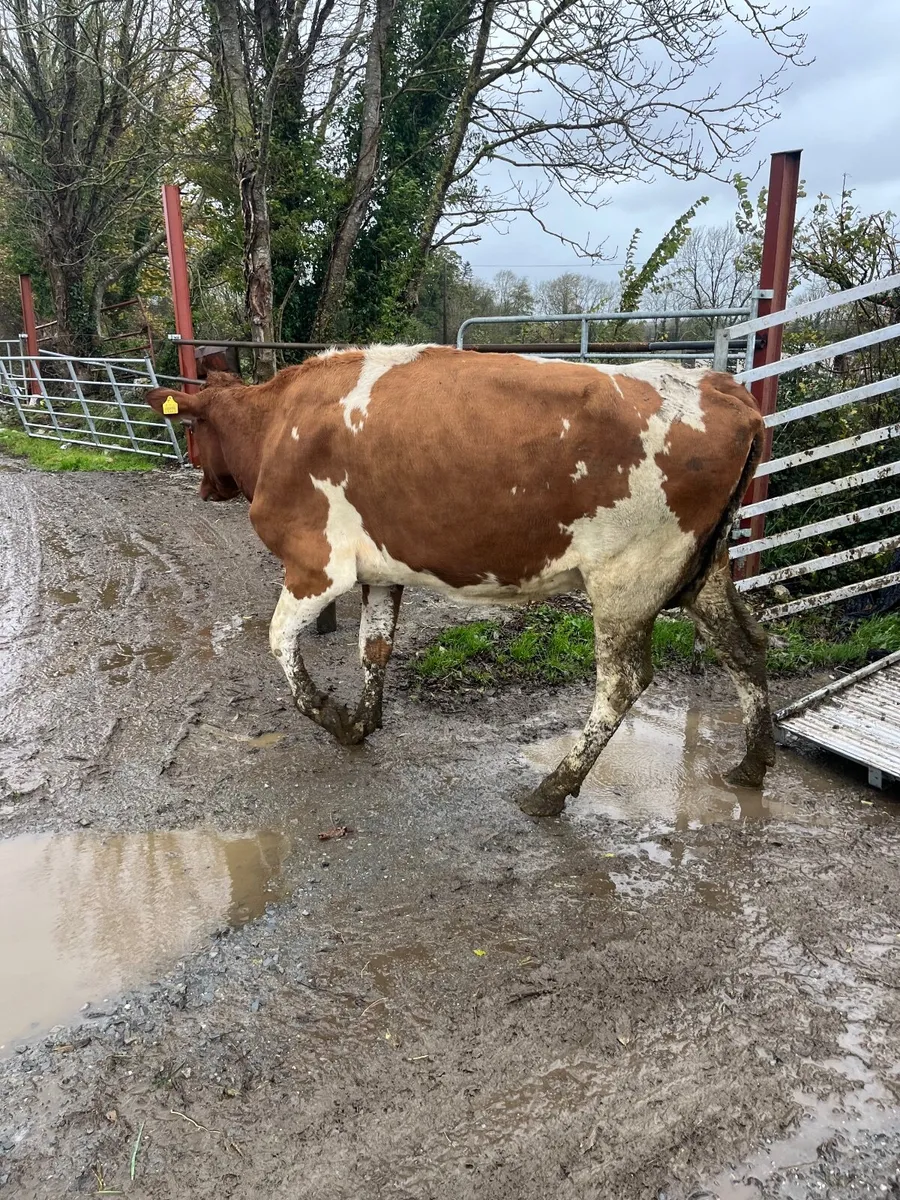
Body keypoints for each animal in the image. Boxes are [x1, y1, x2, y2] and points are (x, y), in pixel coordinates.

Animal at [146, 345, 775, 817]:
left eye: (193, 429)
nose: (200, 482)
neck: (277, 422)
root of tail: (721, 385)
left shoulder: (317, 565)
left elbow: (280, 642)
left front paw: (333, 718)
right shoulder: (380, 570)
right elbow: (373, 647)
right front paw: (364, 720)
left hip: (626, 580)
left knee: (622, 684)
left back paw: (552, 790)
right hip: (702, 573)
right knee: (745, 647)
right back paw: (752, 763)